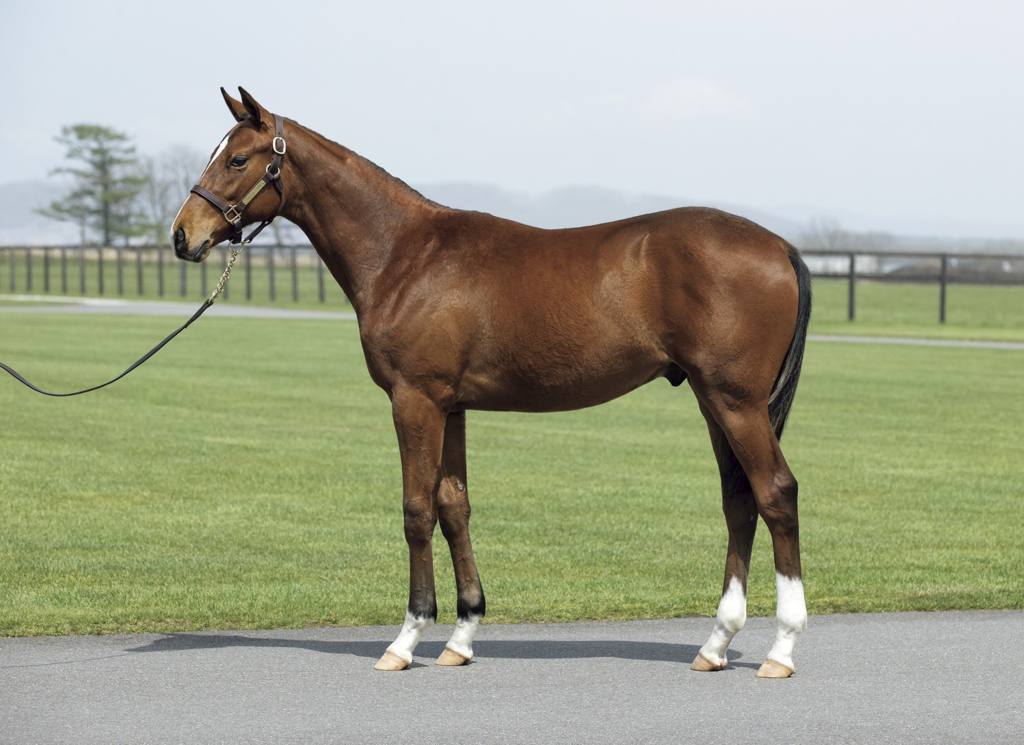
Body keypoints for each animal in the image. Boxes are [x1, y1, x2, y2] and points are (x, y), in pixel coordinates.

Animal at [172, 88, 811, 679]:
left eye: (237, 159)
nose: (183, 236)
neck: (406, 255)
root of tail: (780, 245)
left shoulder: (415, 400)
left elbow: (416, 511)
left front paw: (406, 639)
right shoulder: (451, 406)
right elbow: (454, 507)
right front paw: (461, 636)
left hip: (736, 402)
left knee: (776, 493)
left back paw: (781, 649)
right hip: (713, 402)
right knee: (738, 501)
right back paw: (716, 644)